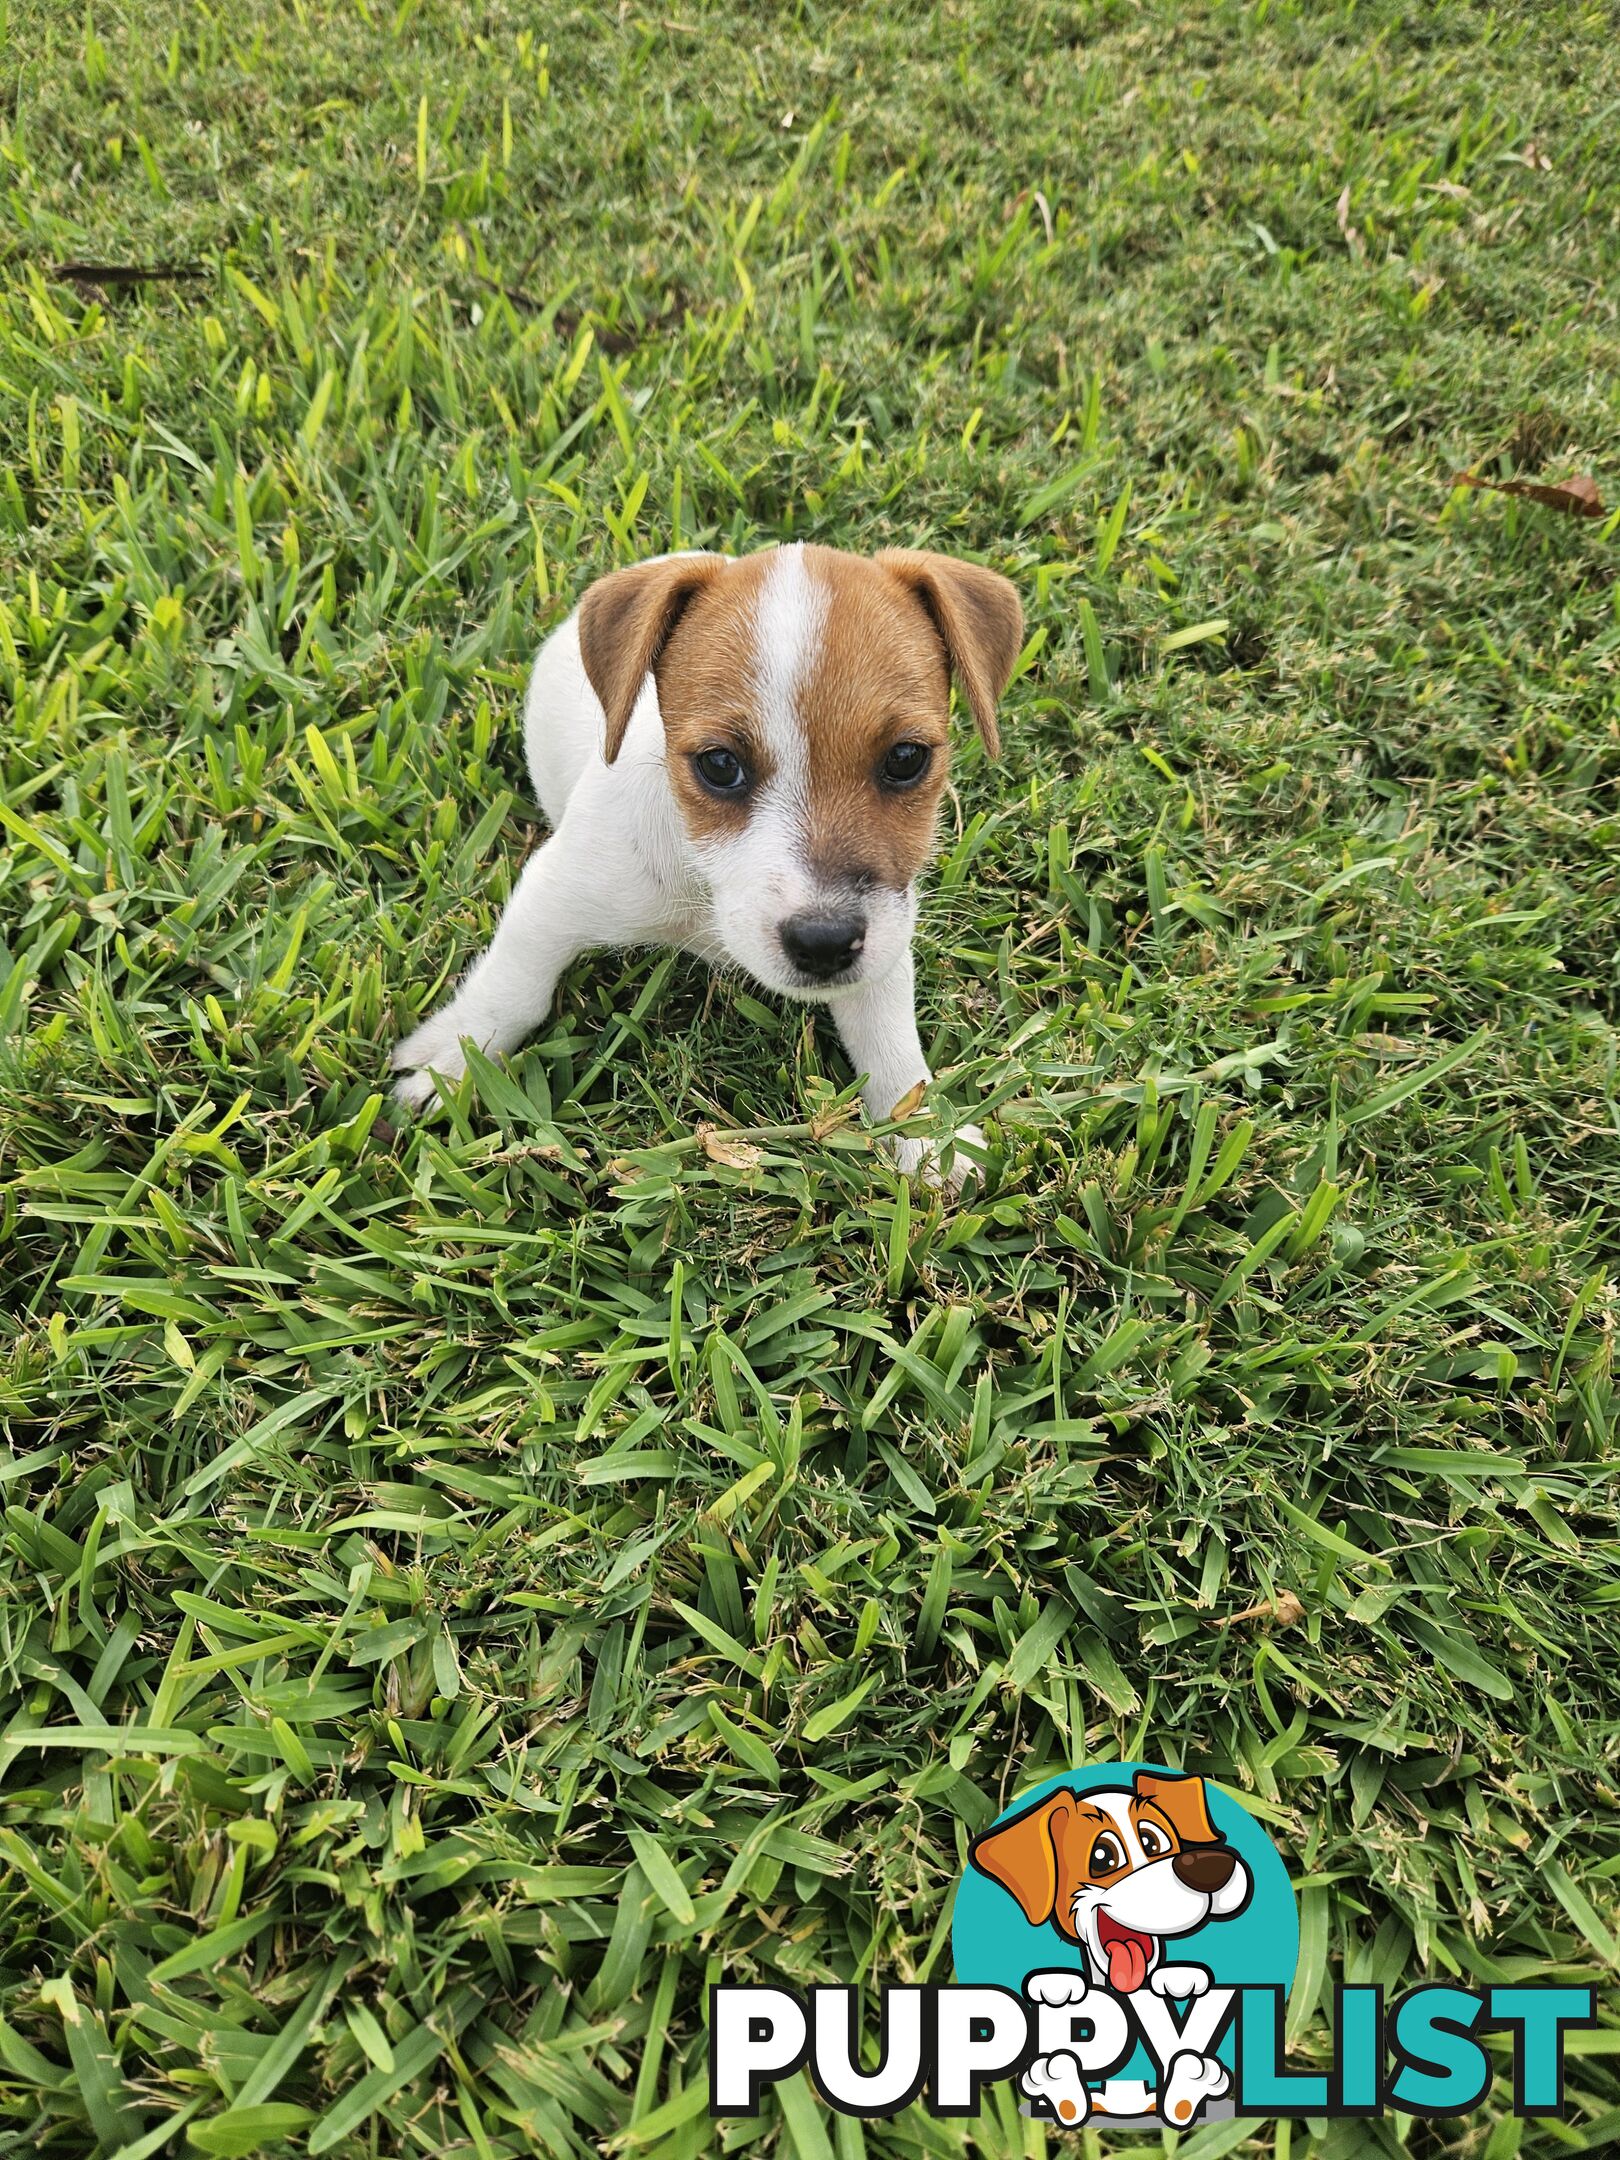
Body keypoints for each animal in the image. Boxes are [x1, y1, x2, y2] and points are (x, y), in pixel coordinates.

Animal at [390, 540, 1019, 1183]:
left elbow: (888, 1035)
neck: (702, 886)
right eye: (719, 765)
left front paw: (922, 1130)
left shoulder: (887, 932)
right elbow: (513, 987)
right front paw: (453, 1059)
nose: (823, 943)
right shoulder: (556, 894)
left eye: (907, 758)